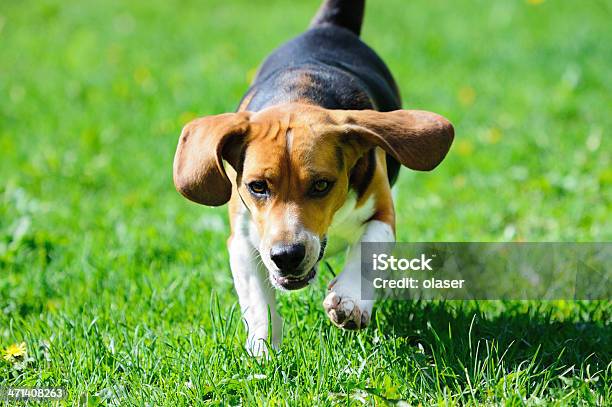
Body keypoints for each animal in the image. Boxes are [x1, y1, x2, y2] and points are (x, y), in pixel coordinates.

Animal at [172, 0, 454, 356]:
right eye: (257, 187)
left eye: (321, 185)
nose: (286, 256)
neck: (300, 96)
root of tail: (327, 27)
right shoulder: (243, 239)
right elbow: (258, 299)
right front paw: (263, 349)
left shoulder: (382, 213)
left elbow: (367, 253)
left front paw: (350, 300)